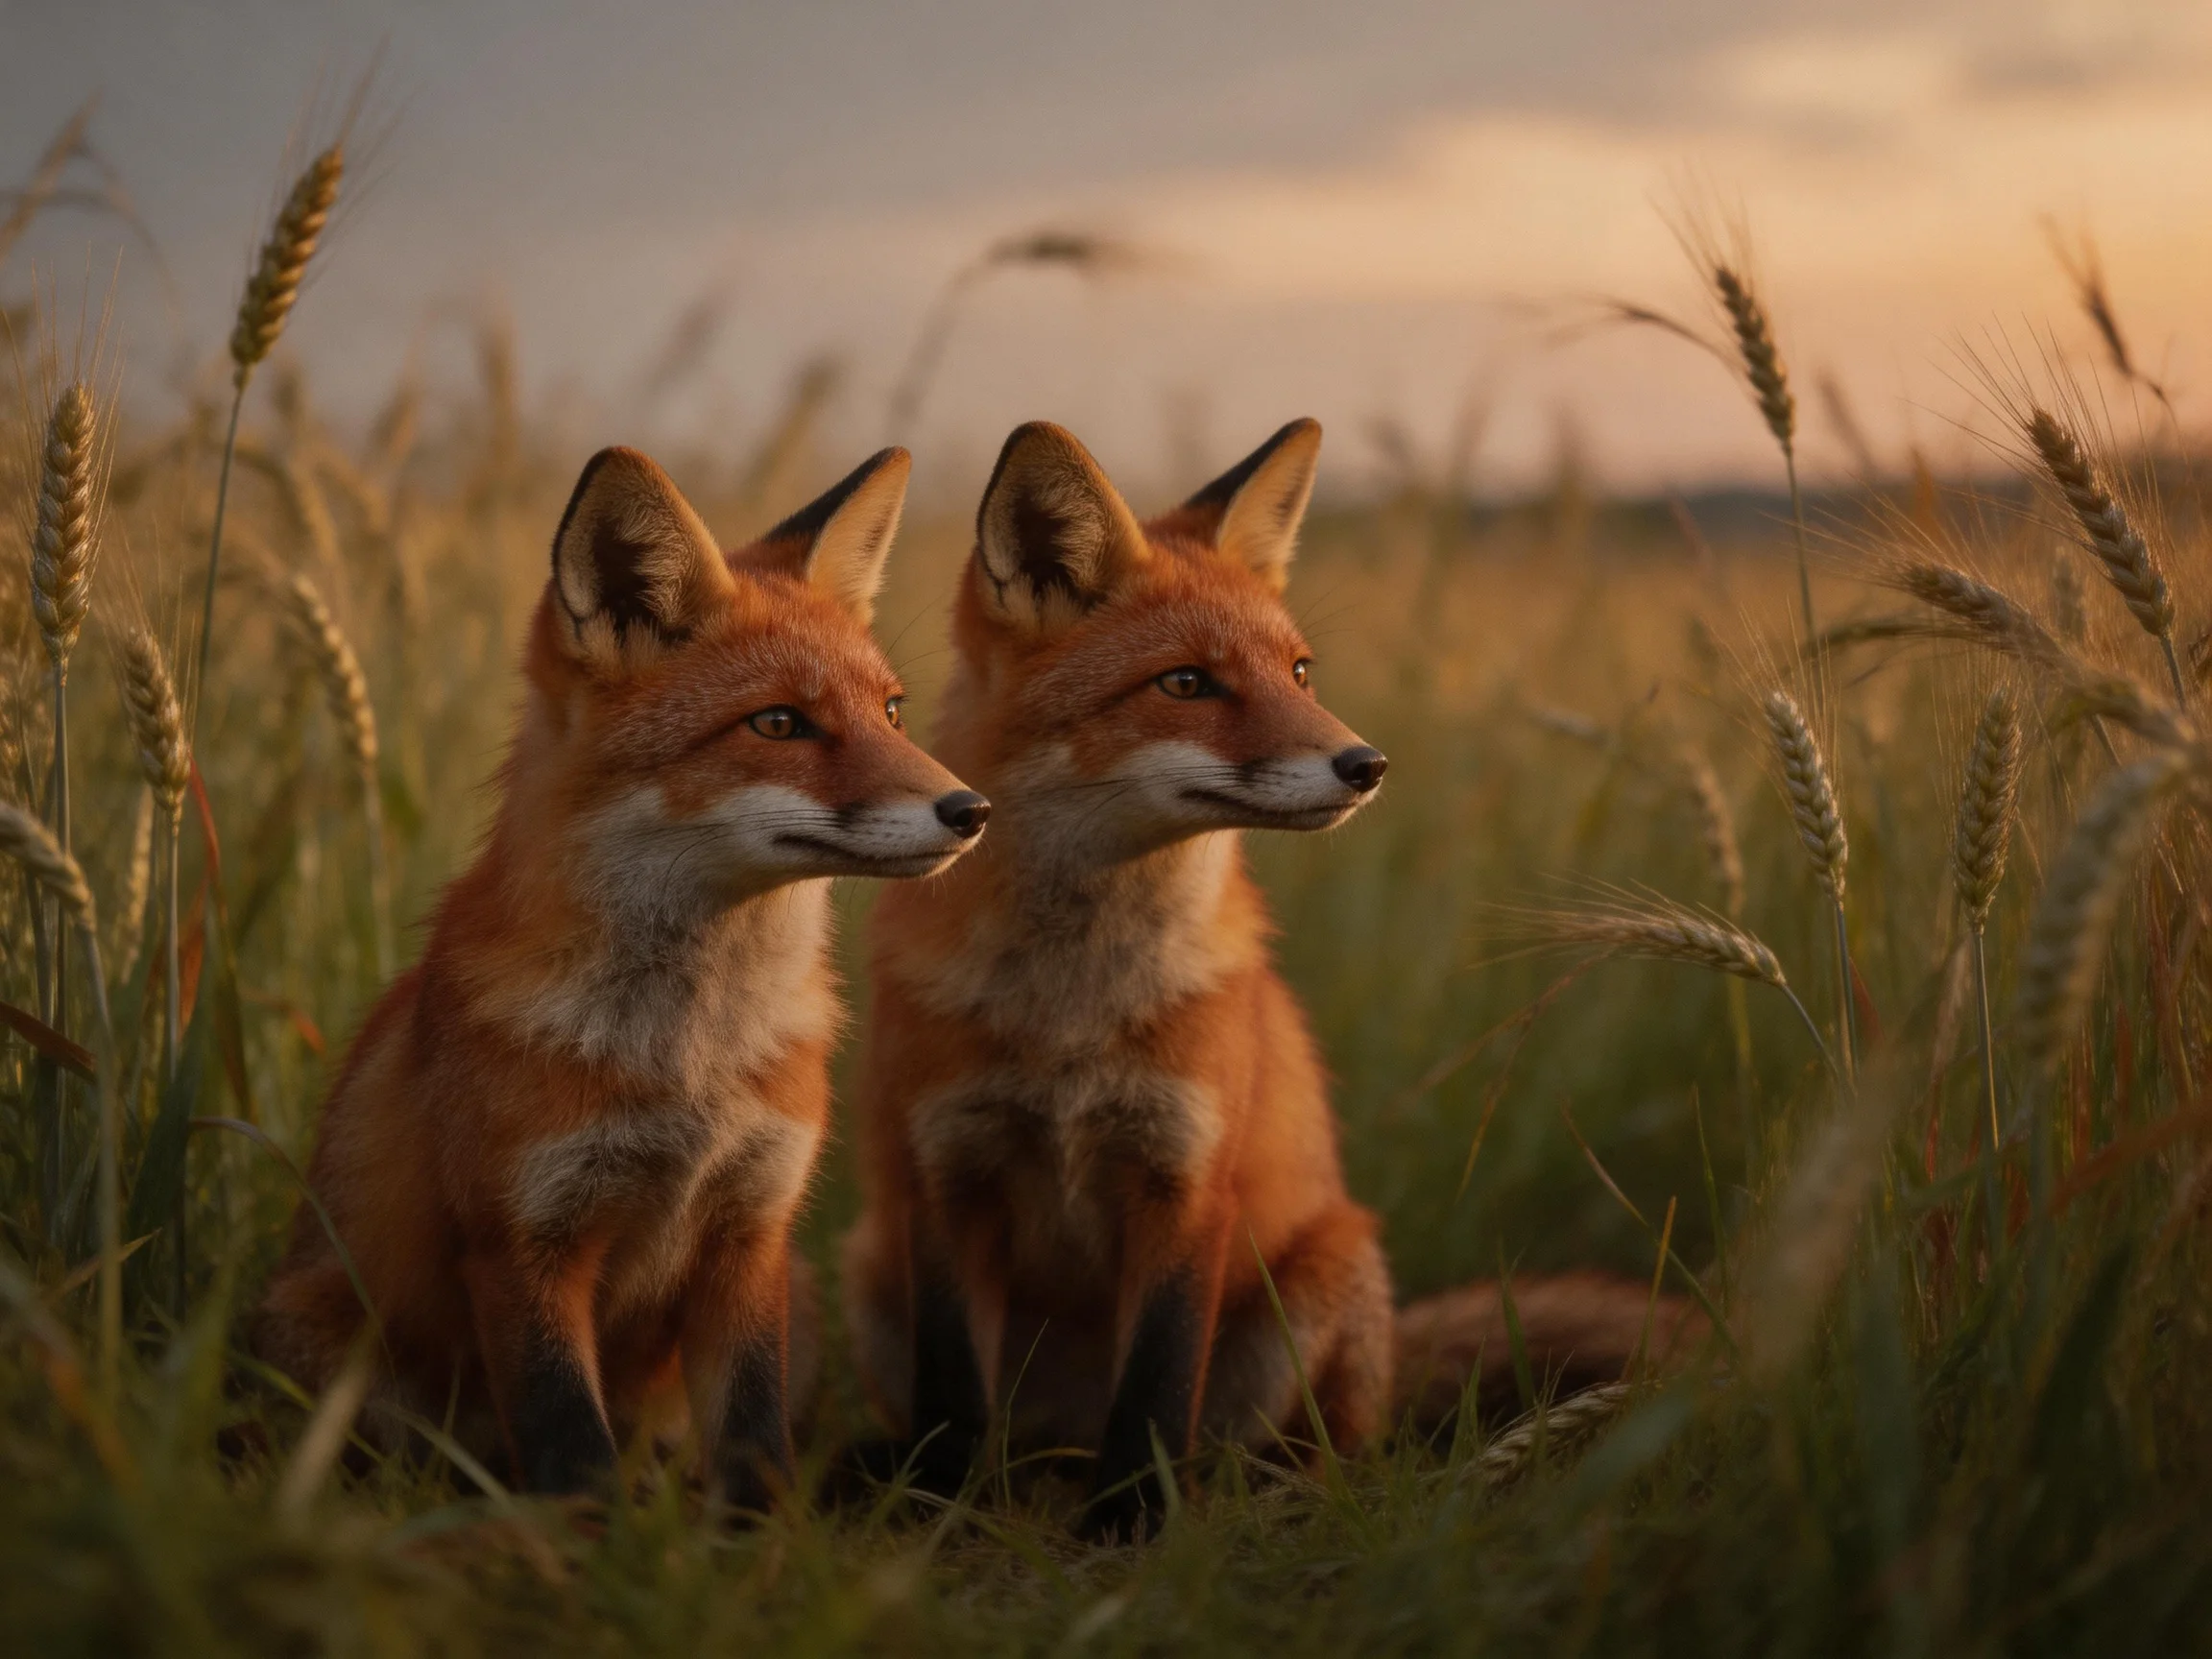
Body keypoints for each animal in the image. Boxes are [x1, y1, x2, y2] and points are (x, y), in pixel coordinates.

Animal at [258, 443, 991, 1508]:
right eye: (780, 723)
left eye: (891, 711)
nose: (971, 810)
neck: (688, 1065)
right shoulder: (522, 1244)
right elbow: (571, 1450)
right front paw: (584, 1542)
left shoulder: (751, 1232)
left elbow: (752, 1441)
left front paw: (760, 1537)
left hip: (802, 1297)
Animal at [839, 419, 1700, 1540]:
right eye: (1186, 683)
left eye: (1299, 670)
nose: (1367, 765)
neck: (1069, 1013)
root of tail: (1058, 1442)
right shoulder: (946, 1179)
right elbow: (952, 1397)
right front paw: (942, 1513)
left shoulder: (1189, 1179)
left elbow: (1157, 1386)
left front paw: (1133, 1524)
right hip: (869, 1267)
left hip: (1321, 1279)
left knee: (1298, 1449)